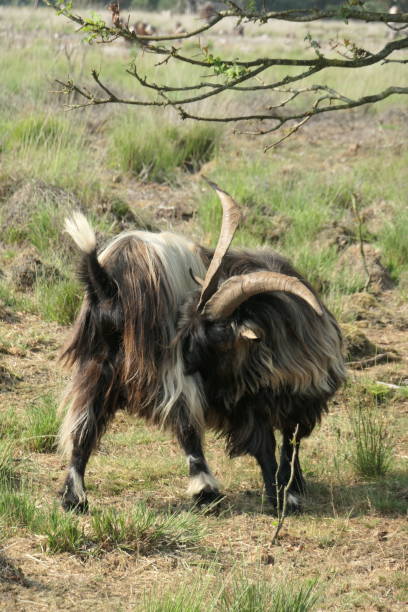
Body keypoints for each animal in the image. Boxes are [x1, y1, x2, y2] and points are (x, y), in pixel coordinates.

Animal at [59, 182, 346, 512]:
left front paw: (293, 485)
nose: (186, 358)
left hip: (97, 365)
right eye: (188, 326)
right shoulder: (247, 403)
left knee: (84, 424)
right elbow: (266, 446)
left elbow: (291, 444)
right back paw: (205, 489)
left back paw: (74, 497)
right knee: (185, 424)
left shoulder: (299, 400)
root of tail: (108, 287)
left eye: (217, 334)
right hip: (163, 374)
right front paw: (280, 497)